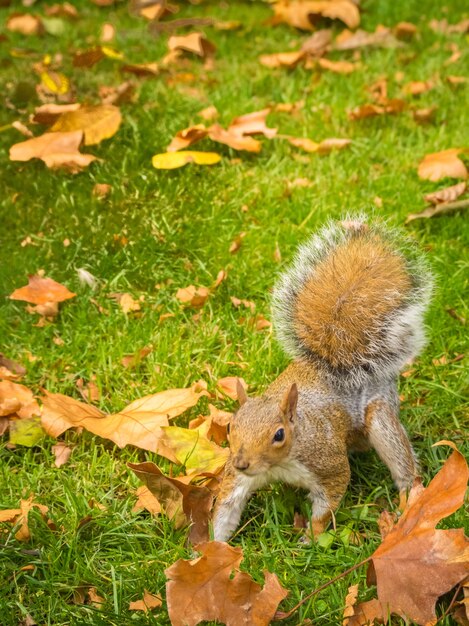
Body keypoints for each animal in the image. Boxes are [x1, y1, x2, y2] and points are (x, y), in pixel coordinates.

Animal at [212, 216, 432, 540]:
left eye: (279, 434)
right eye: (230, 426)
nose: (241, 462)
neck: (279, 464)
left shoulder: (327, 463)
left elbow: (329, 499)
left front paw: (311, 537)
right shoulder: (237, 480)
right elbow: (226, 508)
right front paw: (208, 547)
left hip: (380, 416)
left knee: (400, 458)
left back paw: (408, 500)